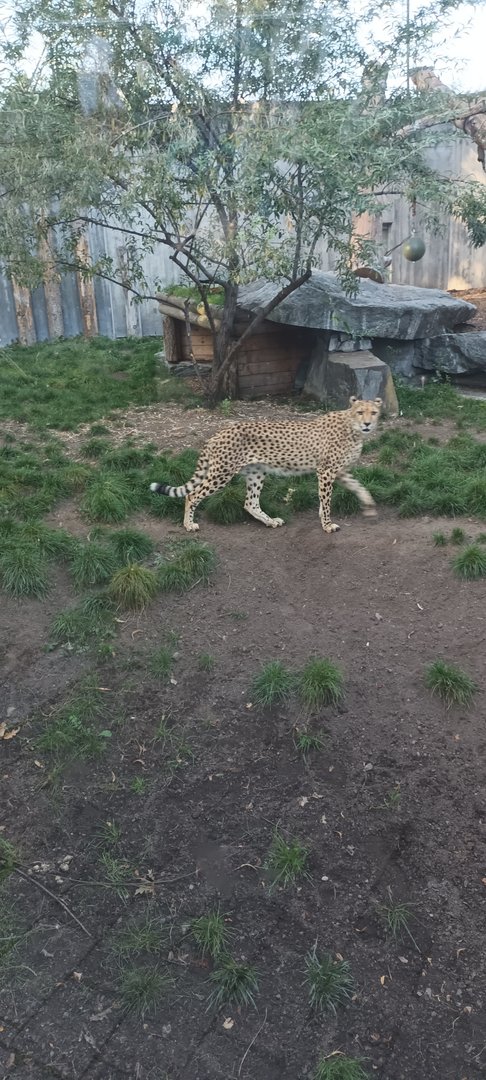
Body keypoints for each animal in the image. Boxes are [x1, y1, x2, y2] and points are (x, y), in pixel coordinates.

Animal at [150, 396, 382, 534]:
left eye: (374, 412)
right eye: (360, 412)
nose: (367, 423)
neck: (352, 427)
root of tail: (217, 433)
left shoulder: (339, 472)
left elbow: (360, 488)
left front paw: (370, 507)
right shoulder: (326, 471)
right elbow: (326, 501)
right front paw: (326, 524)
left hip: (256, 472)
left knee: (250, 503)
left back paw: (270, 521)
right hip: (222, 473)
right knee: (192, 494)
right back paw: (188, 524)